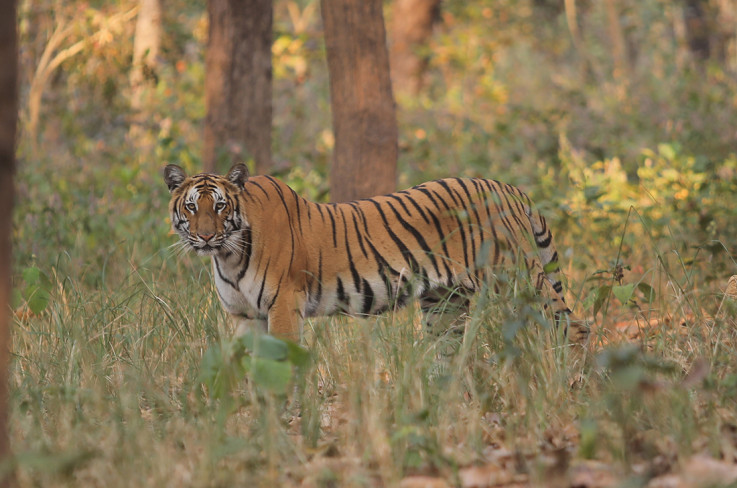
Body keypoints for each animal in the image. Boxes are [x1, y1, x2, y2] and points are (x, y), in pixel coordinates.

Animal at [162, 166, 588, 346]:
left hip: (518, 281)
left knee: (575, 326)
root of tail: (509, 189)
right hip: (445, 303)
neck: (228, 256)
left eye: (219, 206)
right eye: (192, 207)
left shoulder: (283, 306)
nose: (205, 236)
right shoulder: (242, 316)